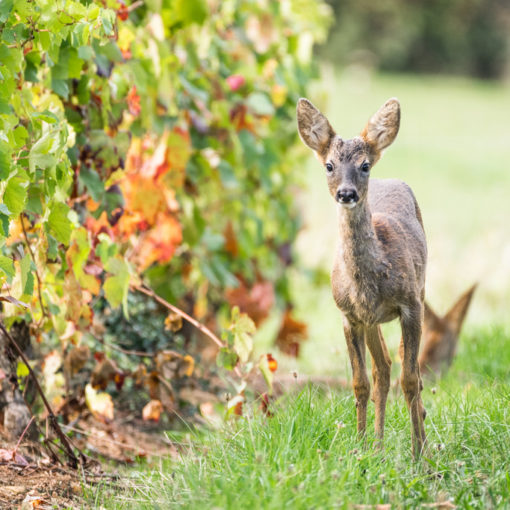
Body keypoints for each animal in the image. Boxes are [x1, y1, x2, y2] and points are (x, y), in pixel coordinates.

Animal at [296, 97, 428, 456]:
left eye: (365, 165)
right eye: (329, 165)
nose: (346, 193)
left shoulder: (410, 305)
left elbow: (410, 379)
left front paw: (420, 455)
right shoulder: (349, 315)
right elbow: (360, 383)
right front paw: (359, 446)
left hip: (422, 289)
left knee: (405, 369)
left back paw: (415, 437)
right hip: (371, 322)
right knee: (382, 368)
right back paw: (378, 446)